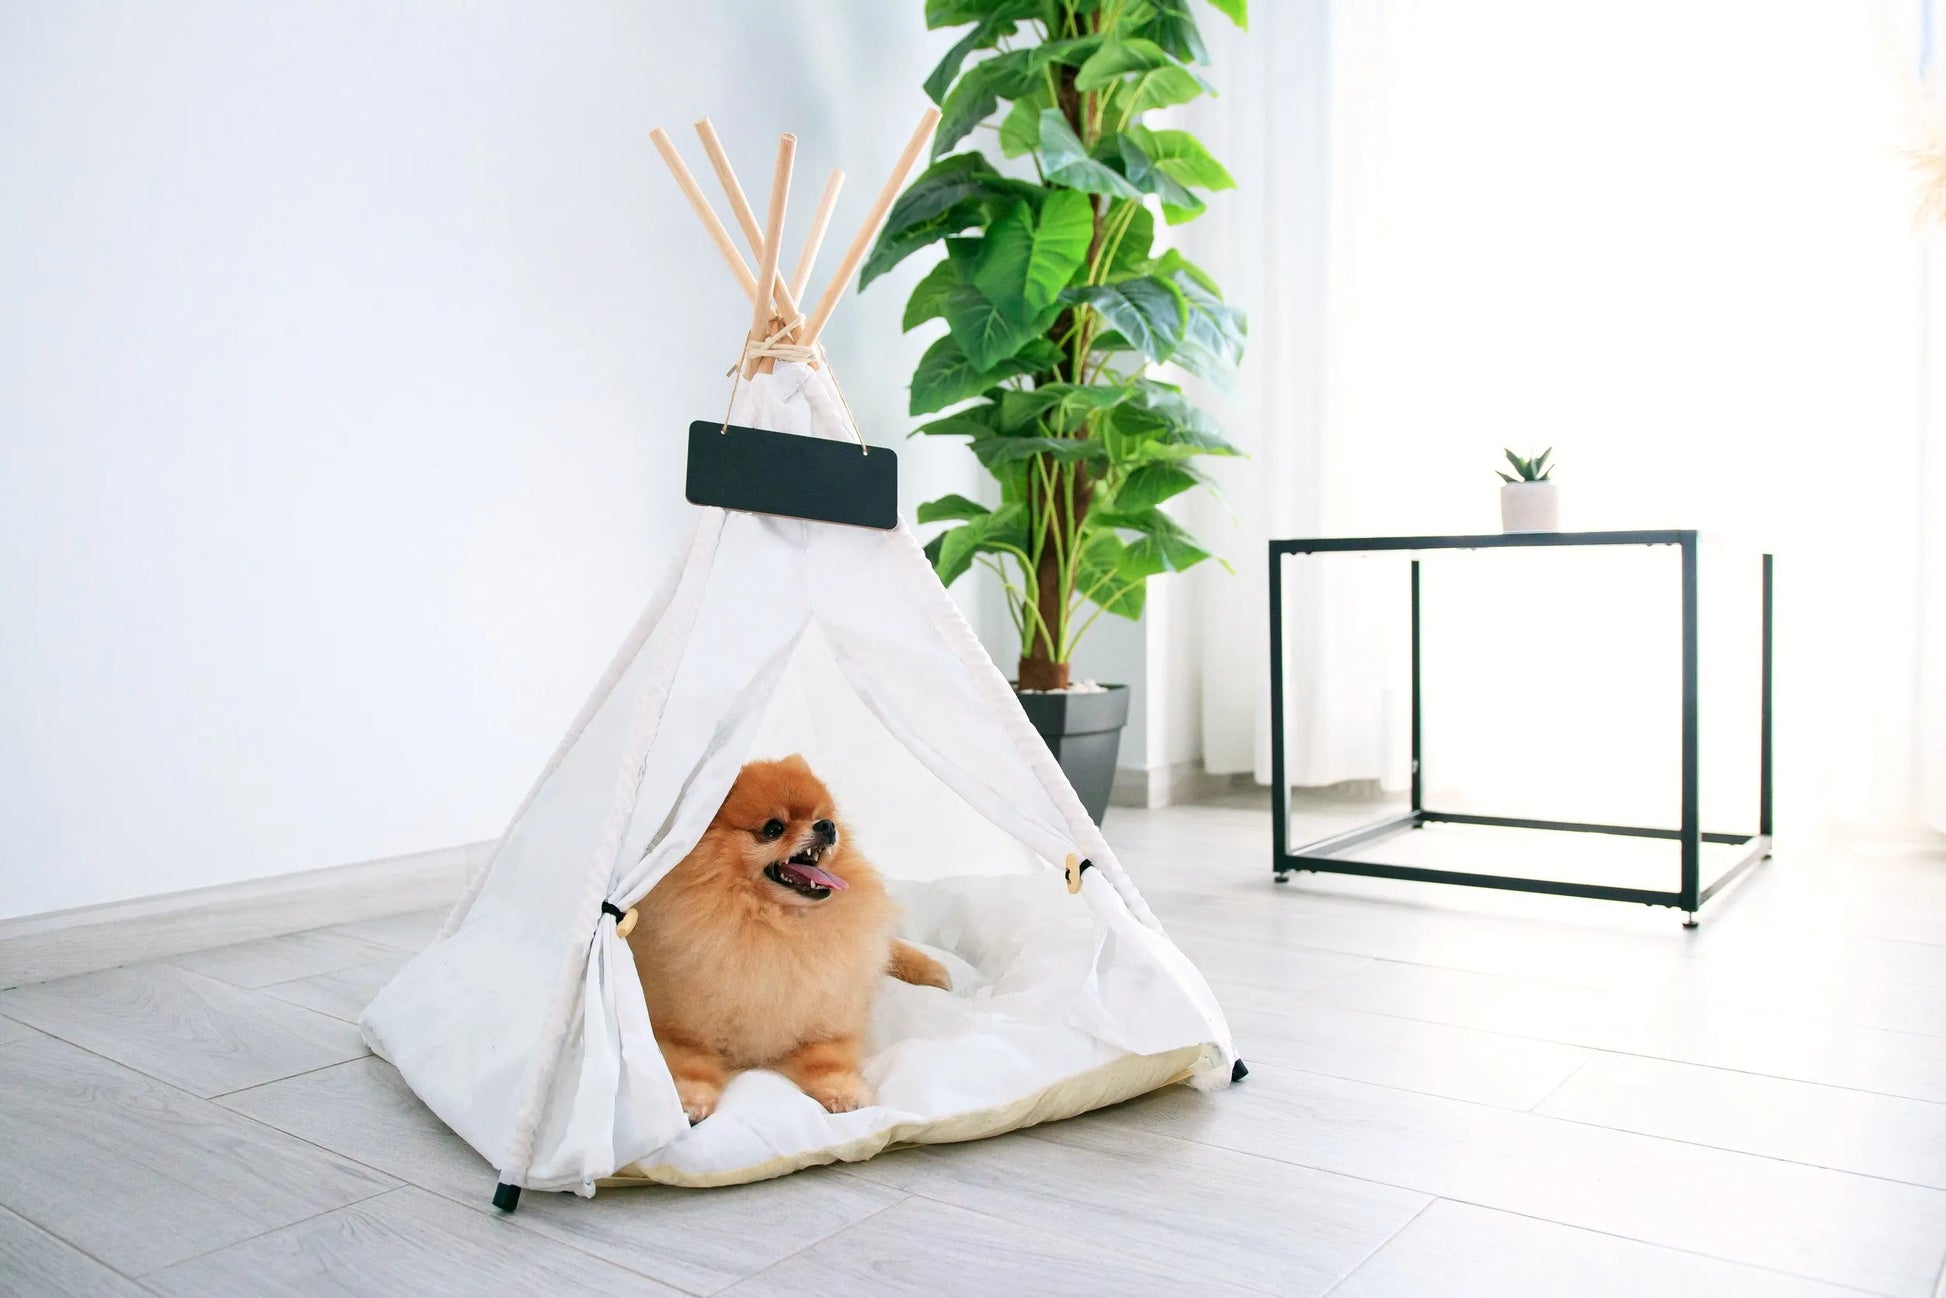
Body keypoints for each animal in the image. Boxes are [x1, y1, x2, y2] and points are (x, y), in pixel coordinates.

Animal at [626, 755, 953, 1120]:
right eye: (773, 828)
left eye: (821, 815)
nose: (827, 826)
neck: (778, 926)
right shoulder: (678, 1029)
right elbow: (689, 1065)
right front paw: (689, 1101)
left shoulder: (825, 1016)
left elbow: (829, 1061)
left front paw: (845, 1094)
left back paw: (932, 972)